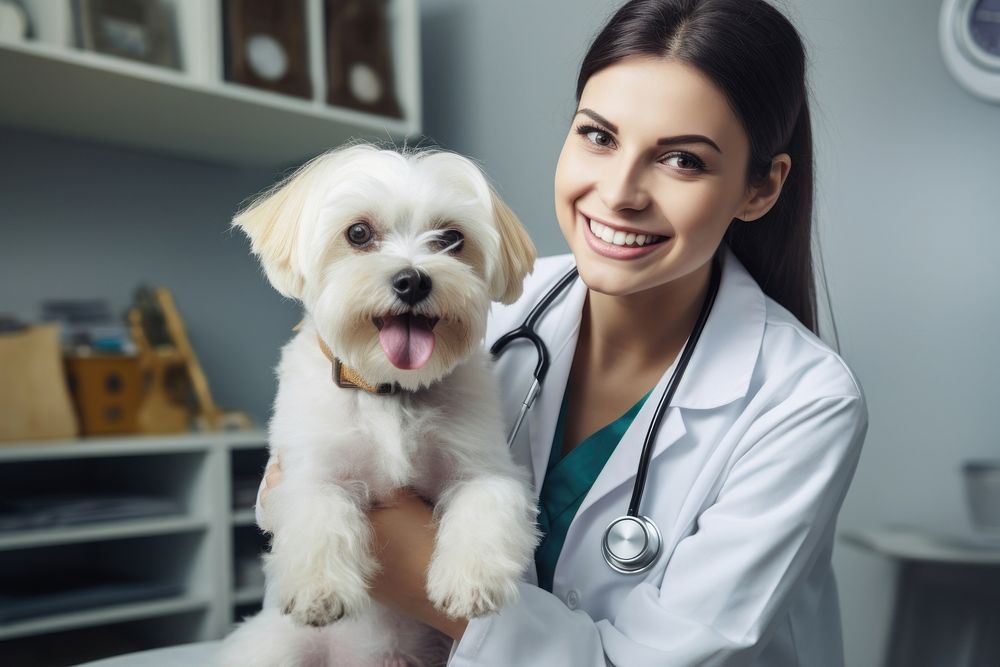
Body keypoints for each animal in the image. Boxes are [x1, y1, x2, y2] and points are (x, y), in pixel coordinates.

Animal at [219, 145, 544, 667]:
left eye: (451, 238)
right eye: (358, 233)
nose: (412, 281)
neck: (389, 390)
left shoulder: (485, 467)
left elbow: (485, 499)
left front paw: (472, 580)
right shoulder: (304, 471)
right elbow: (320, 509)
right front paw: (319, 589)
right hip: (277, 649)